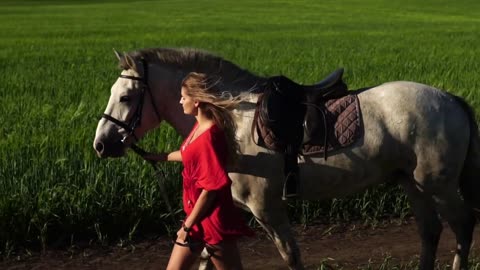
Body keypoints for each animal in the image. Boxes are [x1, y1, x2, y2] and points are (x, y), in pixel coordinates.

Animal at [94, 48, 480, 270]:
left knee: (462, 226)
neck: (232, 121)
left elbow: (291, 256)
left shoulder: (268, 208)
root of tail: (451, 99)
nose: (101, 144)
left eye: (126, 97)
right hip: (413, 184)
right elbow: (206, 255)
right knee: (430, 232)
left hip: (439, 186)